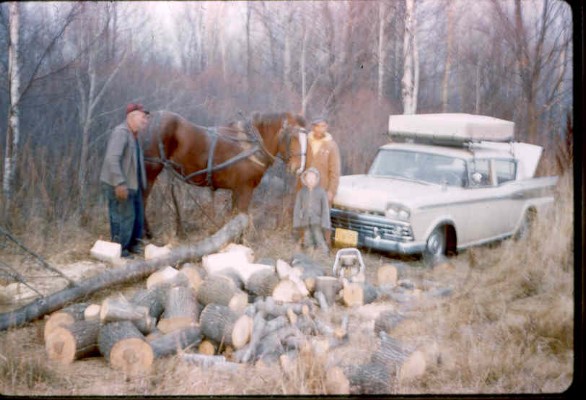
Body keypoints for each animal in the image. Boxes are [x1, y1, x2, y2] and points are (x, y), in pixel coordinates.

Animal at [139, 111, 308, 236]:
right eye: (292, 136)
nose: (299, 168)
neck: (250, 144)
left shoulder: (237, 190)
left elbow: (234, 217)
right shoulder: (245, 189)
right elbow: (241, 217)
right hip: (150, 171)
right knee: (143, 200)